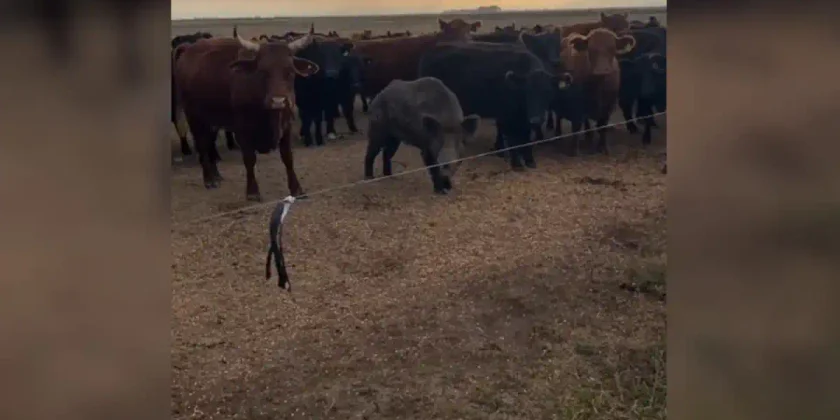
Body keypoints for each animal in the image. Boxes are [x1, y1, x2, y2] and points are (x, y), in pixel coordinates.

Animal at [172, 35, 320, 201]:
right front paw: (252, 191)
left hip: (212, 120)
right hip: (194, 117)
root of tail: (188, 48)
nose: (278, 101)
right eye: (262, 72)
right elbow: (249, 159)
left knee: (210, 143)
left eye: (290, 72)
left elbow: (287, 157)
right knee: (202, 145)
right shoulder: (242, 131)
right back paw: (209, 179)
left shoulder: (286, 125)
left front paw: (297, 189)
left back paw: (216, 175)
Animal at [419, 42, 572, 170]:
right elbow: (512, 141)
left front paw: (529, 160)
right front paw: (516, 163)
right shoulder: (507, 117)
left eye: (548, 92)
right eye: (526, 92)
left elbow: (525, 138)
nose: (536, 119)